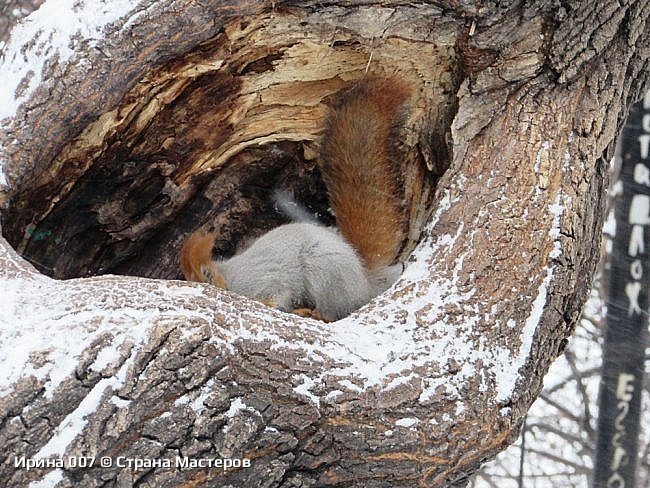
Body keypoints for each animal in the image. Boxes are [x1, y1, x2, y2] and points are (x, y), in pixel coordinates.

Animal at [178, 74, 410, 322]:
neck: (231, 278)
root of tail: (364, 279)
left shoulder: (268, 280)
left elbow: (278, 293)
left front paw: (270, 304)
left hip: (326, 270)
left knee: (333, 311)